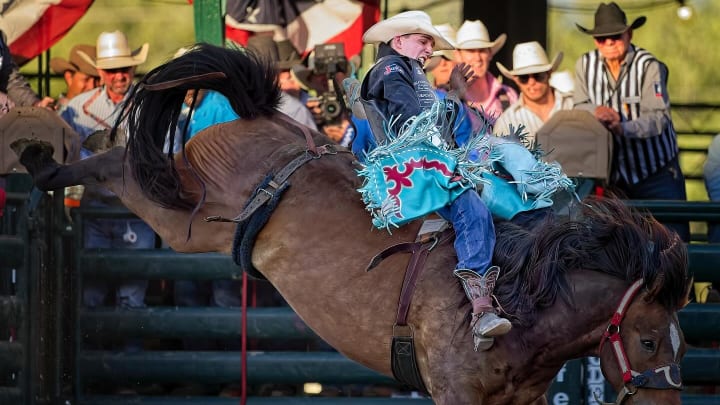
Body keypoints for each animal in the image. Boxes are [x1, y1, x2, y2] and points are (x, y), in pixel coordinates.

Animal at [8, 44, 688, 404]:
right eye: (650, 341)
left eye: (680, 345)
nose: (668, 399)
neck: (528, 304)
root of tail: (272, 123)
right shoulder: (456, 392)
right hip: (190, 216)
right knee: (125, 168)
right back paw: (43, 161)